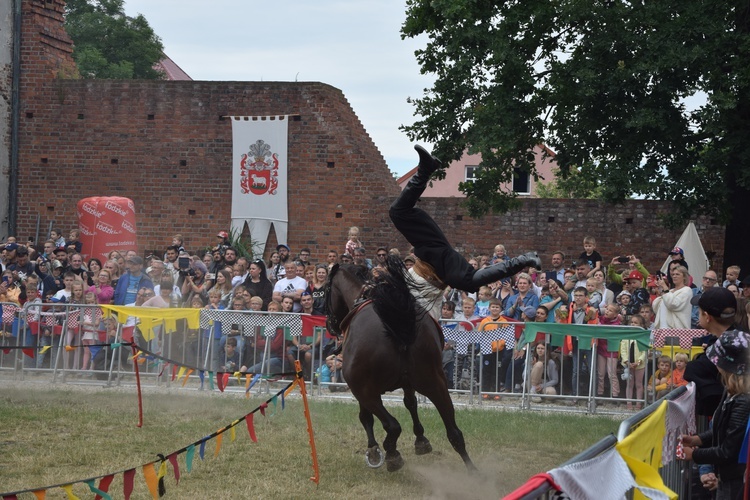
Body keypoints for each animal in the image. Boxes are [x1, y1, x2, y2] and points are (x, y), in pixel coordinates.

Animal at [324, 258, 476, 472]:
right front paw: (421, 440)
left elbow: (366, 417)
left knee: (393, 425)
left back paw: (391, 453)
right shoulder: (408, 382)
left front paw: (374, 450)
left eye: (325, 290)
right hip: (435, 383)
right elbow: (410, 403)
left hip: (367, 392)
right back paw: (473, 472)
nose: (330, 325)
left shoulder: (361, 390)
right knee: (454, 432)